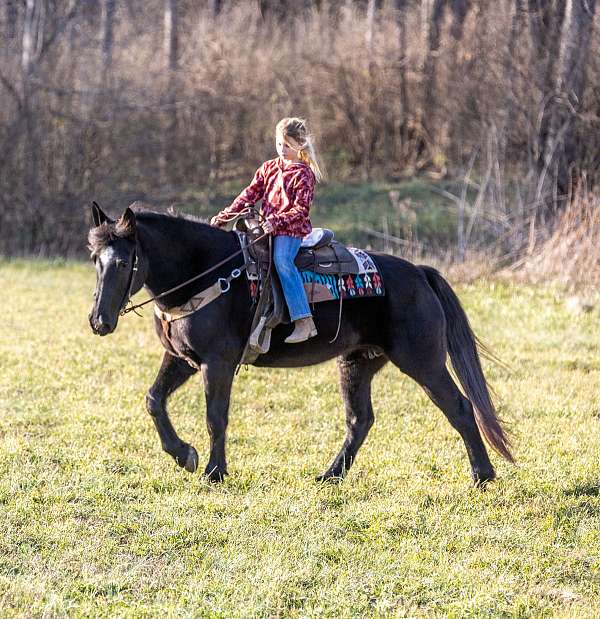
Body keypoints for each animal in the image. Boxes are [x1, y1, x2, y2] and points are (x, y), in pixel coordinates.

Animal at [86, 203, 512, 484]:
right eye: (94, 259)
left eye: (123, 262)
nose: (99, 321)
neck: (205, 272)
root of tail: (420, 274)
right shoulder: (182, 358)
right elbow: (154, 400)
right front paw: (185, 456)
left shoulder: (216, 362)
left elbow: (215, 417)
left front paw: (213, 472)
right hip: (357, 362)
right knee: (359, 421)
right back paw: (329, 476)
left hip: (423, 362)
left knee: (460, 407)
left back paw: (483, 475)